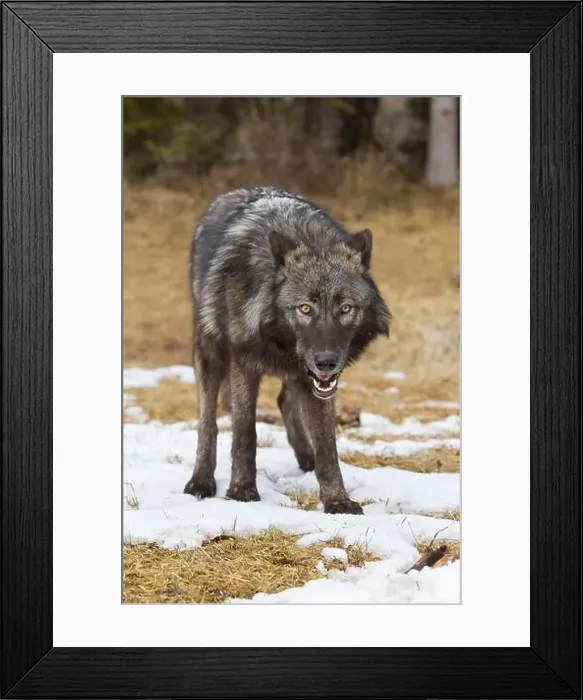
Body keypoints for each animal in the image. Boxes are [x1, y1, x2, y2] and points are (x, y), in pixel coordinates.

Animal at [183, 186, 390, 514]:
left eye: (345, 308)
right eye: (305, 308)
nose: (327, 362)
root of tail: (233, 192)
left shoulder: (319, 383)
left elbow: (328, 445)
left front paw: (337, 500)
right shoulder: (243, 363)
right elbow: (244, 432)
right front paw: (242, 490)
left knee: (284, 400)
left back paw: (307, 459)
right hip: (208, 353)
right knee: (208, 421)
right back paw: (201, 480)